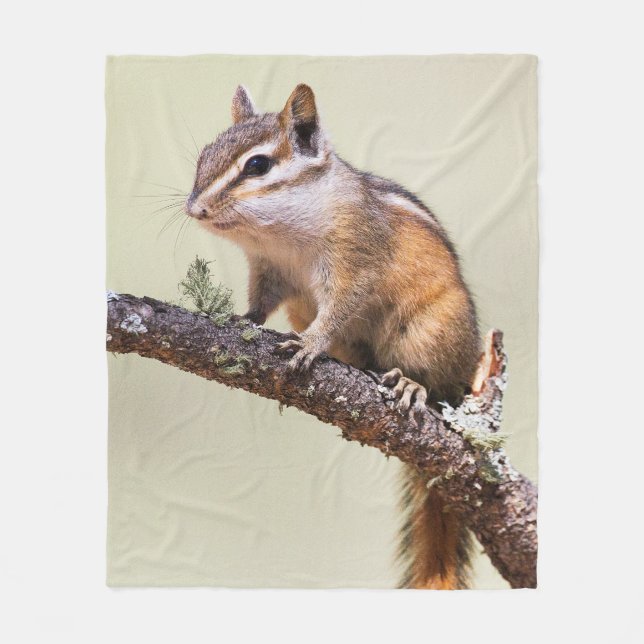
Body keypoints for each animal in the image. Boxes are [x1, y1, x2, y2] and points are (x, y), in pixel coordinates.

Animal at [185, 84, 481, 589]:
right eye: (205, 154)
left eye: (257, 165)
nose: (195, 209)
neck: (280, 235)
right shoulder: (268, 270)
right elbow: (261, 301)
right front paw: (244, 319)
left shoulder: (353, 260)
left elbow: (340, 309)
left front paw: (308, 344)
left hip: (432, 333)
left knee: (438, 385)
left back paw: (411, 384)